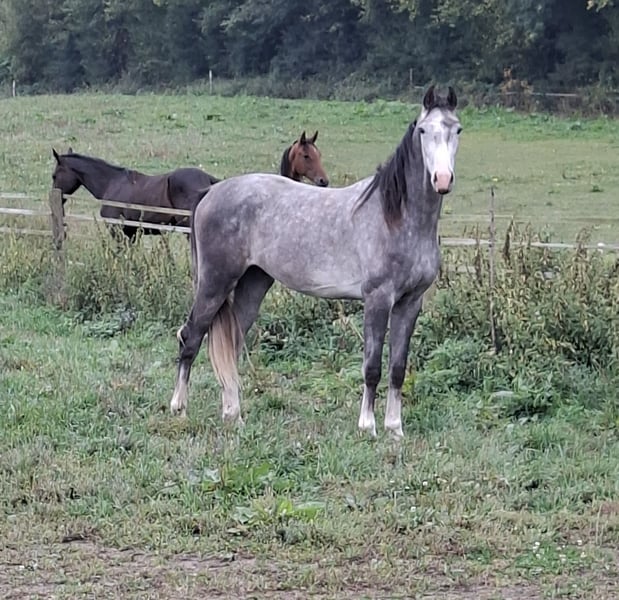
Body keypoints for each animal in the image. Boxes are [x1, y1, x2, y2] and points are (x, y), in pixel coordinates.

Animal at [51, 148, 220, 241]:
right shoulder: (132, 233)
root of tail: (208, 179)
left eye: (54, 176)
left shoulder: (117, 231)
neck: (111, 183)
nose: (56, 198)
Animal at [170, 85, 462, 439]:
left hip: (253, 284)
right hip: (214, 283)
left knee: (231, 346)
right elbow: (372, 366)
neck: (396, 217)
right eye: (423, 131)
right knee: (191, 337)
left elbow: (397, 368)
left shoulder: (411, 302)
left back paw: (233, 415)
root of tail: (210, 192)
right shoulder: (378, 299)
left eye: (457, 130)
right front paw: (368, 426)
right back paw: (179, 409)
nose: (442, 179)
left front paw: (395, 429)